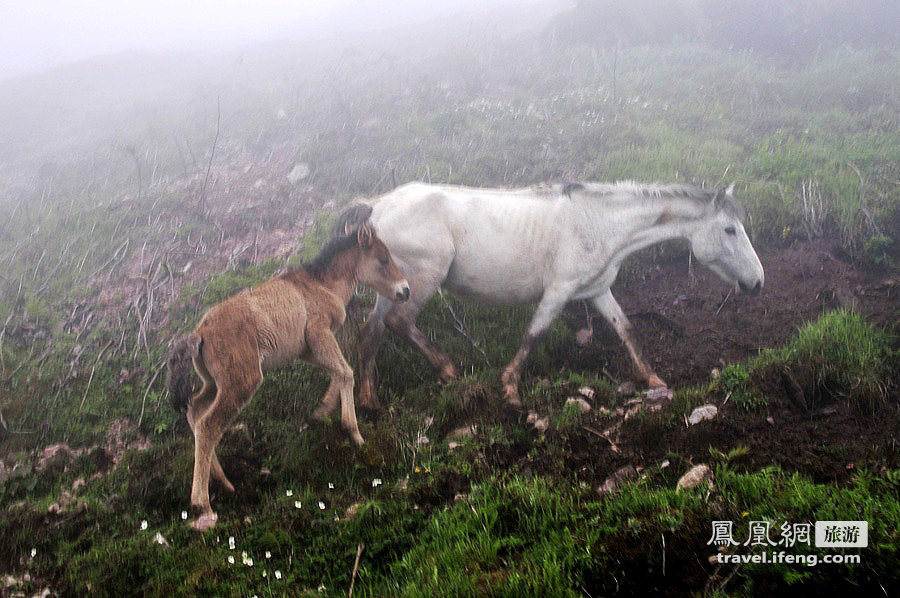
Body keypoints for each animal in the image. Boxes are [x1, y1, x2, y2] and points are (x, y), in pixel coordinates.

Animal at [340, 182, 768, 408]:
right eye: (730, 229)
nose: (758, 282)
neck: (598, 223)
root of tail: (377, 206)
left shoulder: (597, 290)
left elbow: (627, 330)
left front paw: (653, 379)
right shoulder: (558, 290)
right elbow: (534, 334)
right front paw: (510, 387)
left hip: (393, 287)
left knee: (371, 332)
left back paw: (369, 399)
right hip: (421, 280)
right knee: (398, 323)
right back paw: (445, 369)